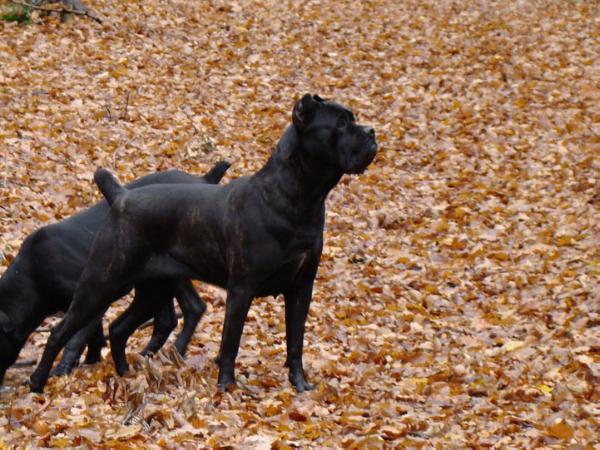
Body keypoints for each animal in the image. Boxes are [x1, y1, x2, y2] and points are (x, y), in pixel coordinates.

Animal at [30, 95, 378, 394]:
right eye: (340, 124)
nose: (371, 131)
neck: (297, 197)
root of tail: (120, 197)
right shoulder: (242, 289)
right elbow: (230, 342)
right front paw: (227, 386)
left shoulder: (301, 288)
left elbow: (295, 342)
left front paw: (300, 384)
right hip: (102, 283)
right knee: (60, 331)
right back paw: (38, 383)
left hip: (152, 290)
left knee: (117, 328)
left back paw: (125, 374)